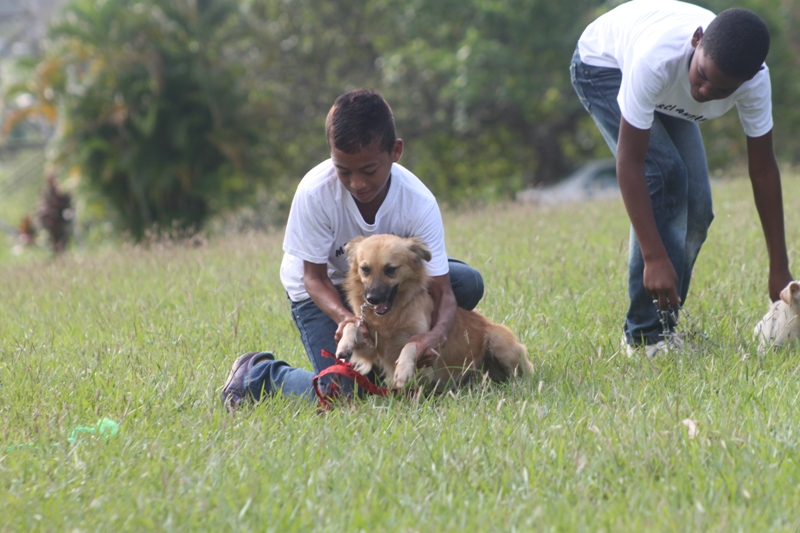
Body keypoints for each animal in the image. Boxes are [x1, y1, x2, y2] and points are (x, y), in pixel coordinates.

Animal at [335, 234, 533, 390]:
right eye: (365, 269)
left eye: (390, 269)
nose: (372, 299)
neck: (391, 318)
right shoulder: (372, 348)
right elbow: (352, 324)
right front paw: (344, 344)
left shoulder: (423, 342)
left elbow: (410, 345)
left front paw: (403, 370)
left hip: (498, 342)